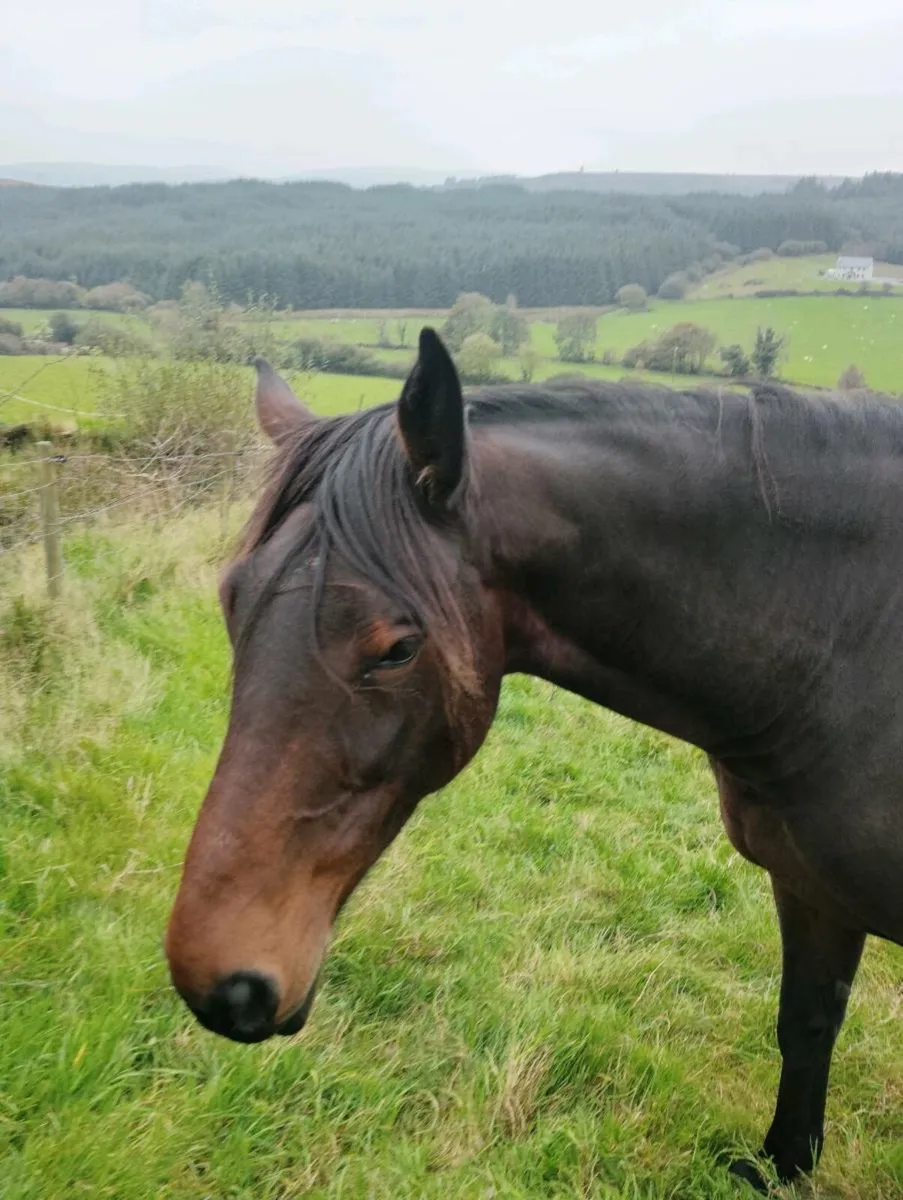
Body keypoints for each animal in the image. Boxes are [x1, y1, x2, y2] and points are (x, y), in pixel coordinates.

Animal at [165, 329, 903, 1191]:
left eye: (396, 649)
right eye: (230, 601)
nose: (221, 981)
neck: (847, 640)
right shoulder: (809, 888)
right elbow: (806, 1023)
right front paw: (782, 1168)